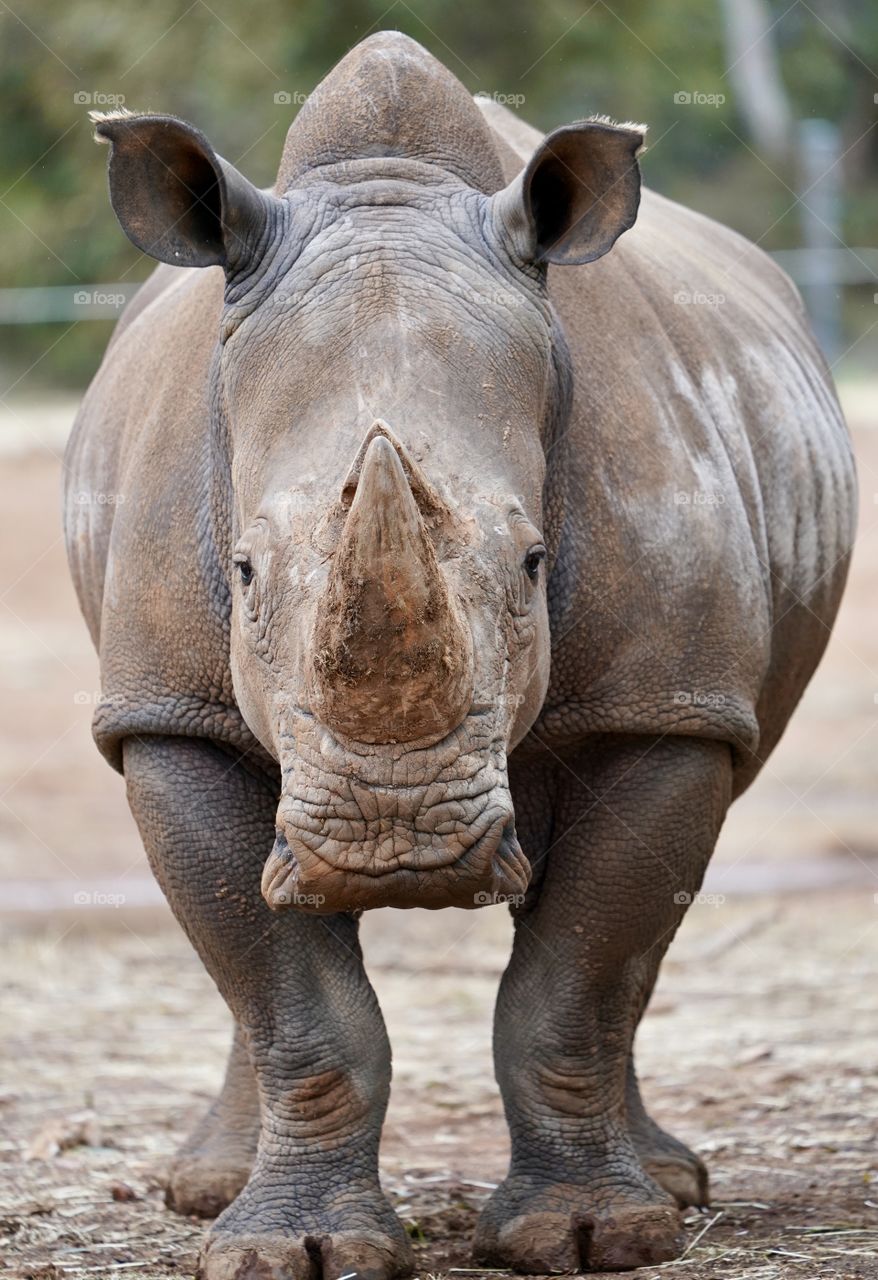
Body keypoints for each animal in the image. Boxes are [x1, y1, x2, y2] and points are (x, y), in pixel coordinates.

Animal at [64, 30, 855, 1278]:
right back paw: (209, 1190)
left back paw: (669, 1184)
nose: (396, 847)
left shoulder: (665, 702)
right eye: (240, 573)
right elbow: (288, 997)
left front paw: (588, 1234)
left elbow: (576, 975)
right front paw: (291, 1250)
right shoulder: (166, 708)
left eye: (532, 564)